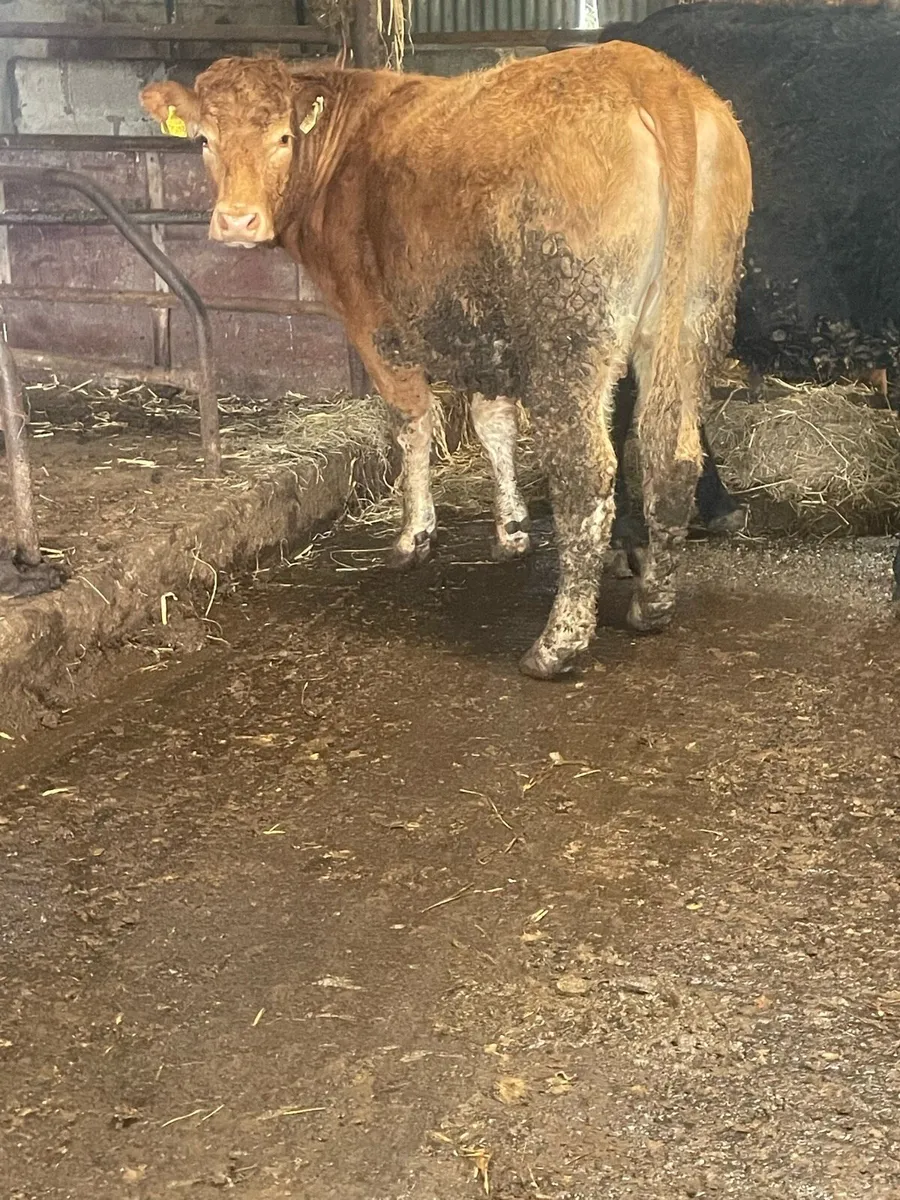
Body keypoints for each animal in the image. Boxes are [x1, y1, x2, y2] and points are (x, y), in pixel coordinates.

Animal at [141, 47, 751, 678]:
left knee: (586, 474)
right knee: (672, 454)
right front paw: (511, 532)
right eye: (205, 139)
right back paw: (652, 604)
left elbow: (412, 422)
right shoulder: (487, 328)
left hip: (568, 331)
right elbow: (492, 422)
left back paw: (557, 644)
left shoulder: (374, 322)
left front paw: (414, 537)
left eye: (282, 137)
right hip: (693, 314)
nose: (237, 220)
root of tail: (649, 74)